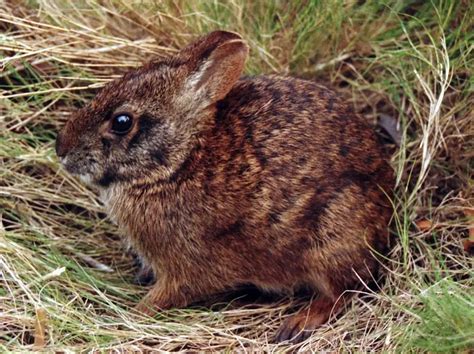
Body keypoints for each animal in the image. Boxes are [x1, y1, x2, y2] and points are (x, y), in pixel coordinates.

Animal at [56, 31, 392, 342]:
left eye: (122, 122)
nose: (61, 148)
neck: (178, 165)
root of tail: (385, 193)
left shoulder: (188, 265)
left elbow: (171, 293)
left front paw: (135, 313)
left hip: (331, 239)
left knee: (343, 291)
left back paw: (298, 323)